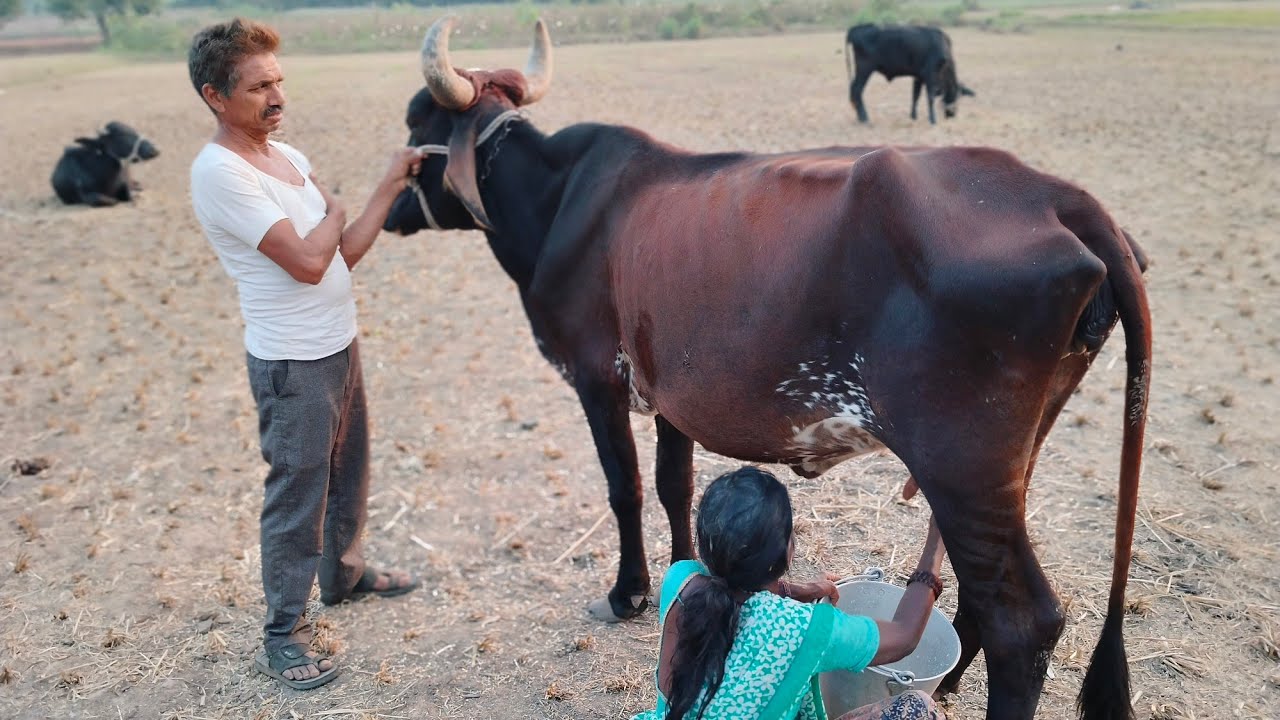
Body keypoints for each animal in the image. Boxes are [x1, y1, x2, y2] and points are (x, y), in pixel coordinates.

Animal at [844, 23, 975, 124]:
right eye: (956, 95)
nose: (951, 115)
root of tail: (857, 28)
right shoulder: (930, 75)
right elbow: (930, 97)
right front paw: (933, 120)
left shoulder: (918, 77)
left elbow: (915, 96)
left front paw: (913, 117)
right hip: (864, 69)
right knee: (856, 90)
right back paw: (864, 119)